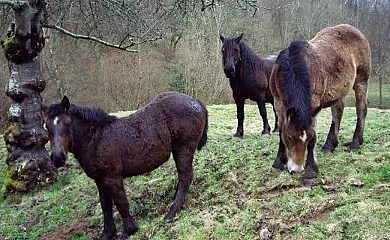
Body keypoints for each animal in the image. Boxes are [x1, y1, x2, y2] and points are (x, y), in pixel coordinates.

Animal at [41, 91, 209, 238]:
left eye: (68, 123)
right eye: (47, 126)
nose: (57, 158)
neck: (96, 139)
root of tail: (195, 101)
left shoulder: (113, 177)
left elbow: (121, 202)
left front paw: (129, 230)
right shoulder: (100, 180)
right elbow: (105, 205)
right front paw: (107, 233)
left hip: (183, 148)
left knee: (186, 176)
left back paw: (171, 213)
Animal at [270, 24, 370, 183]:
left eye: (306, 139)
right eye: (290, 137)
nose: (296, 170)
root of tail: (357, 32)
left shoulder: (312, 105)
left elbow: (313, 136)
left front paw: (311, 171)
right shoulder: (278, 103)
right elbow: (281, 131)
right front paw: (278, 163)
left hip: (361, 81)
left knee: (361, 109)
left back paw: (355, 143)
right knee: (338, 111)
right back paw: (330, 145)